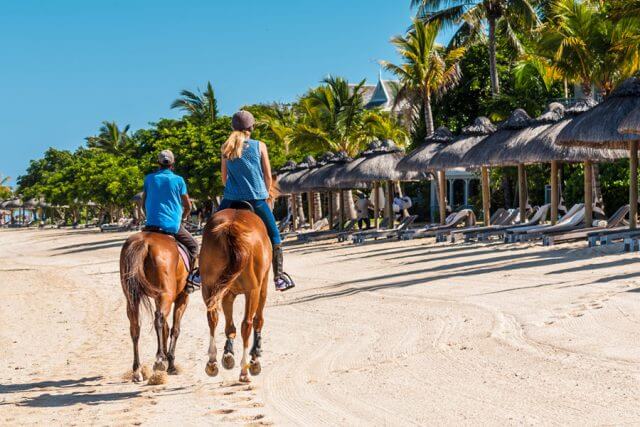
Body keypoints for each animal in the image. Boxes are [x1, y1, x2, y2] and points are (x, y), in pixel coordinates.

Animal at [120, 232, 189, 382]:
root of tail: (144, 241)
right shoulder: (183, 297)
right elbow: (175, 329)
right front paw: (171, 364)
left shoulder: (159, 299)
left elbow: (166, 329)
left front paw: (168, 360)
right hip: (166, 294)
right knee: (159, 319)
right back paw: (159, 359)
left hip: (132, 298)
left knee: (135, 328)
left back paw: (137, 370)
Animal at [200, 207, 270, 384]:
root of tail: (232, 226)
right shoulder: (262, 287)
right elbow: (258, 320)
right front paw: (255, 356)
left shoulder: (227, 293)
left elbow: (229, 327)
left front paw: (227, 355)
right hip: (253, 290)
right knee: (247, 324)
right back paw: (245, 369)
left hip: (209, 287)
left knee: (212, 317)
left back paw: (212, 362)